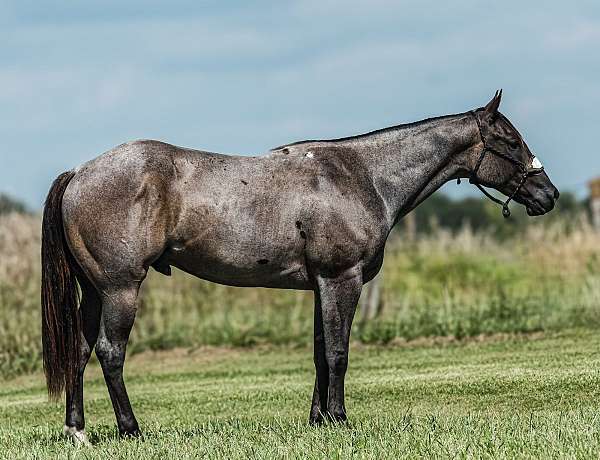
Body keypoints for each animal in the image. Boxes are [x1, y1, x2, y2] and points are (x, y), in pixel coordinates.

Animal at [41, 90, 556, 442]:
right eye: (510, 141)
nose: (548, 195)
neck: (363, 176)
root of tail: (80, 172)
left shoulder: (320, 286)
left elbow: (319, 352)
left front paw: (318, 420)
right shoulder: (342, 280)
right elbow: (339, 353)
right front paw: (341, 420)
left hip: (94, 291)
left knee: (79, 351)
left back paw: (77, 430)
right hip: (121, 289)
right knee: (110, 352)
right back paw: (131, 429)